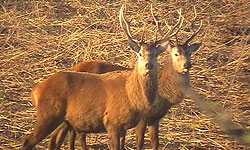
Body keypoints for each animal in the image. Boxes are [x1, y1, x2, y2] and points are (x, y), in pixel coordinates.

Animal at [22, 4, 178, 150]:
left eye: (156, 54)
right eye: (140, 54)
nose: (148, 65)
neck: (132, 97)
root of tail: (35, 91)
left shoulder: (123, 127)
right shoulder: (112, 122)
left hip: (63, 120)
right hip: (48, 114)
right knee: (28, 141)